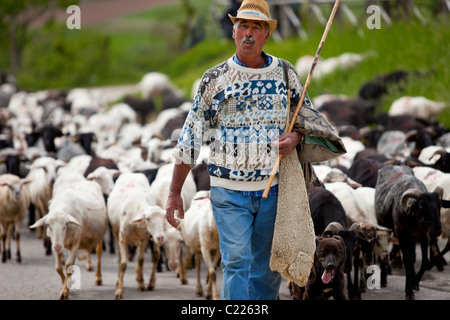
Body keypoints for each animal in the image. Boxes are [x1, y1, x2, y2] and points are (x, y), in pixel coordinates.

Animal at [107, 172, 167, 300]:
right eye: (148, 218)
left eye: (164, 218)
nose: (160, 238)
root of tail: (131, 173)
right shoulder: (122, 238)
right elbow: (123, 264)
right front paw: (119, 290)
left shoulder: (144, 238)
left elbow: (140, 260)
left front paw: (141, 283)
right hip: (115, 233)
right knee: (120, 257)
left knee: (153, 256)